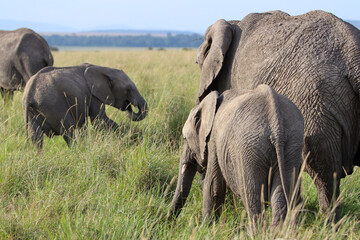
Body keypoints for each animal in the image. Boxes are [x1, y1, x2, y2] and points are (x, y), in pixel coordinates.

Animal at [169, 85, 304, 233]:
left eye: (184, 139)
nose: (170, 223)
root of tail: (277, 127)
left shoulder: (214, 139)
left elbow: (213, 184)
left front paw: (205, 229)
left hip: (249, 149)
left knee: (251, 194)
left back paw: (255, 234)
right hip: (292, 147)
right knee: (281, 192)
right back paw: (277, 233)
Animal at [194, 11, 360, 221]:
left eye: (197, 62)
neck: (233, 23)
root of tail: (354, 56)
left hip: (316, 106)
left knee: (323, 172)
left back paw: (327, 224)